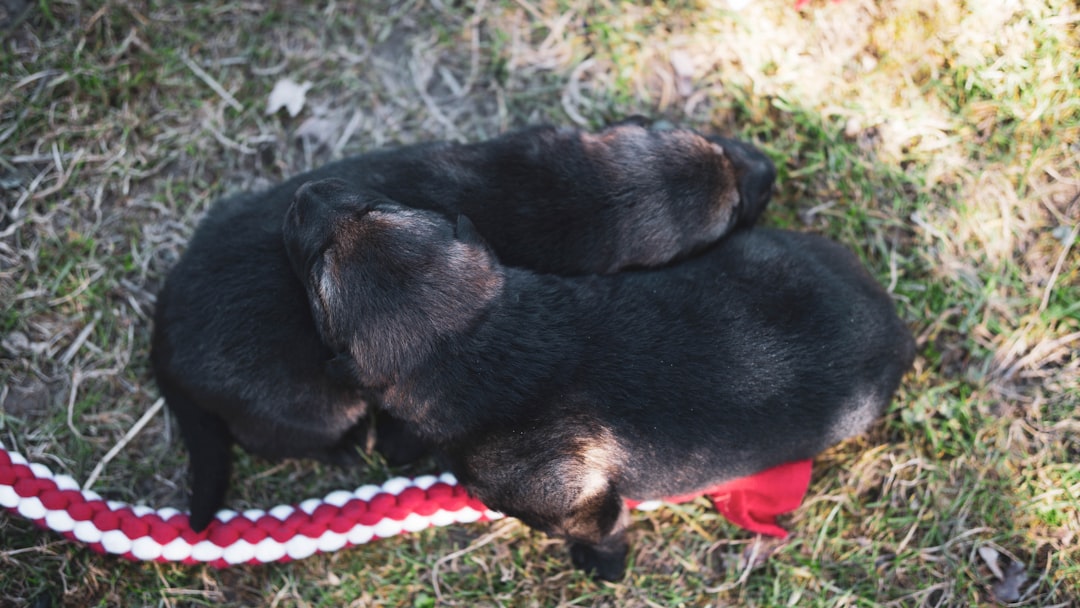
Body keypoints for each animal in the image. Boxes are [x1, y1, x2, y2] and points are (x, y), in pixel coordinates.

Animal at [152, 121, 777, 531]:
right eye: (732, 214)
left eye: (714, 142)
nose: (770, 168)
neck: (583, 194)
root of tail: (166, 343)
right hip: (314, 407)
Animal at [282, 184, 915, 578]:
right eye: (372, 203)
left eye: (315, 274)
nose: (303, 192)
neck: (480, 338)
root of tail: (897, 331)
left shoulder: (571, 496)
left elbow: (598, 527)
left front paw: (603, 563)